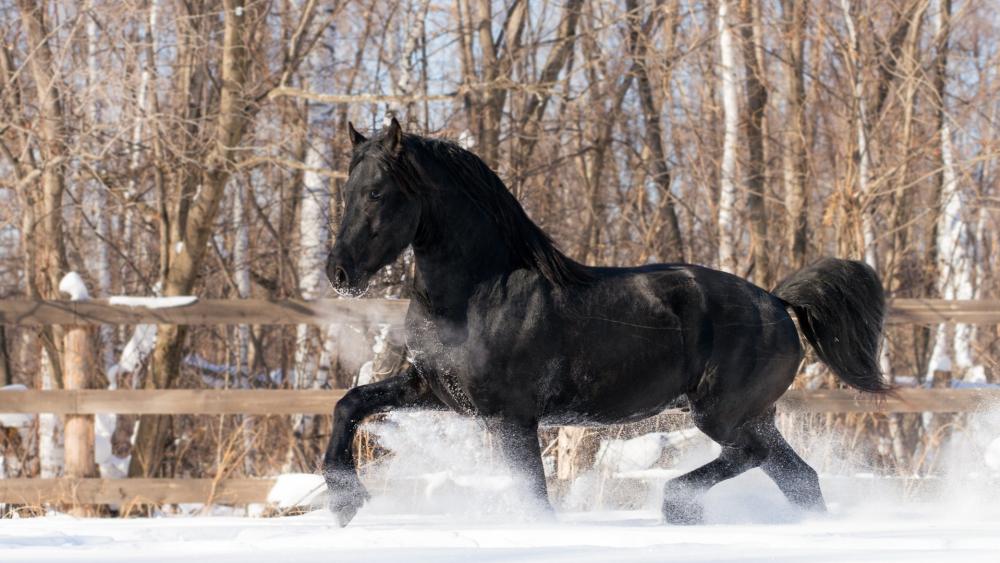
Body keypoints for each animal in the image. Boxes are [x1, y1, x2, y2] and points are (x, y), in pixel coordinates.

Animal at [318, 119, 884, 528]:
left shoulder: (511, 417)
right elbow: (351, 403)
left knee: (751, 456)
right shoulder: (435, 391)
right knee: (799, 478)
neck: (478, 295)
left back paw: (678, 506)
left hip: (724, 414)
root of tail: (777, 302)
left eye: (377, 193)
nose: (338, 272)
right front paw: (344, 501)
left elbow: (534, 494)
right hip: (753, 415)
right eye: (348, 191)